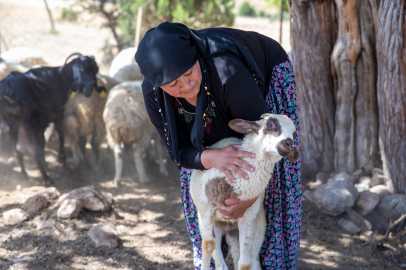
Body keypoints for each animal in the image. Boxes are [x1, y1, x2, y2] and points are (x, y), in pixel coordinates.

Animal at [0, 53, 104, 187]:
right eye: (82, 69)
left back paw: (25, 176)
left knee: (18, 151)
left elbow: (44, 143)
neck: (59, 77)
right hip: (31, 124)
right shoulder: (58, 113)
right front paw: (61, 158)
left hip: (11, 125)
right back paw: (48, 180)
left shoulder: (45, 121)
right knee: (34, 152)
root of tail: (9, 93)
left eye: (96, 70)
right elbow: (60, 132)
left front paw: (49, 164)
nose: (89, 90)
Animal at [190, 113, 298, 270]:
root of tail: (229, 227)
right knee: (219, 260)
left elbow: (244, 263)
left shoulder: (248, 218)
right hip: (210, 223)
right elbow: (208, 246)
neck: (234, 187)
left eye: (295, 134)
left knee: (251, 259)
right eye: (270, 125)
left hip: (257, 229)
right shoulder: (206, 210)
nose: (289, 145)